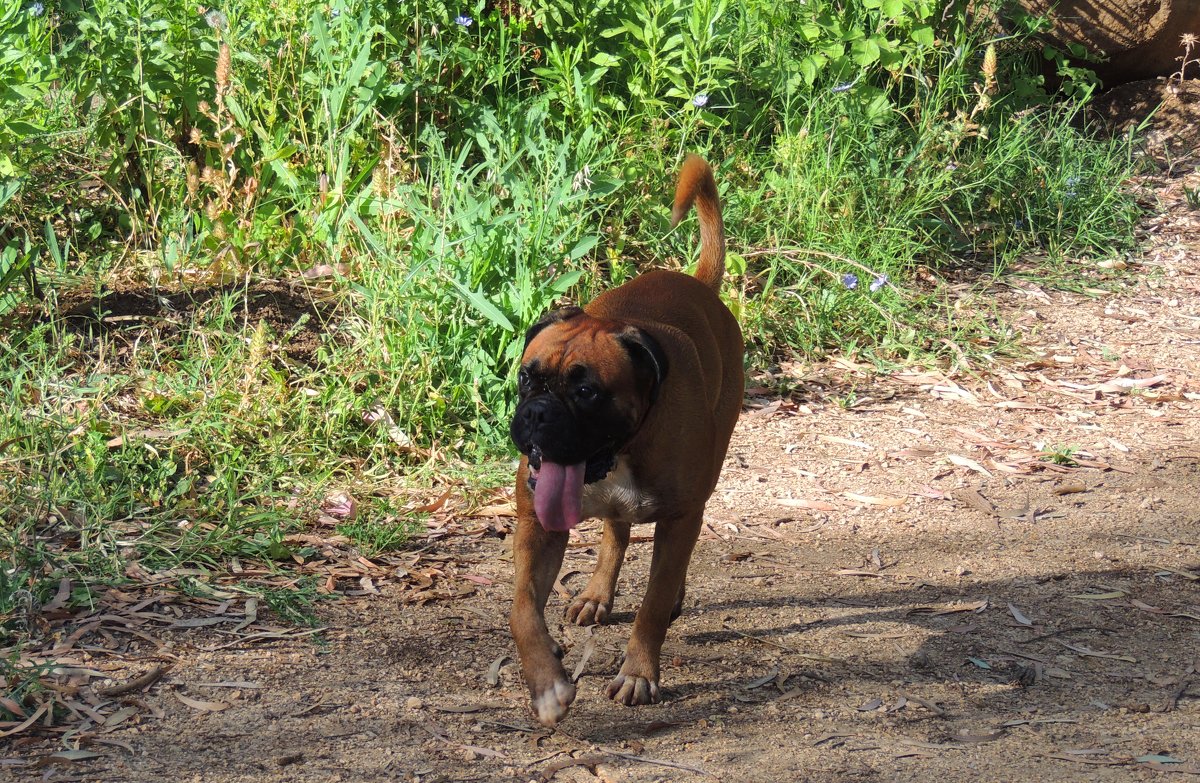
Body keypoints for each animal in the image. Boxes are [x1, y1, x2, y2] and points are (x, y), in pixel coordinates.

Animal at [504, 154, 739, 730]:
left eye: (587, 392)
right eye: (527, 378)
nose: (536, 415)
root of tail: (701, 287)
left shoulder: (680, 519)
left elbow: (652, 603)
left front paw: (638, 673)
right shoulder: (536, 524)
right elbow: (522, 609)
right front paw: (547, 684)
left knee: (662, 564)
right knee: (615, 533)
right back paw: (595, 593)